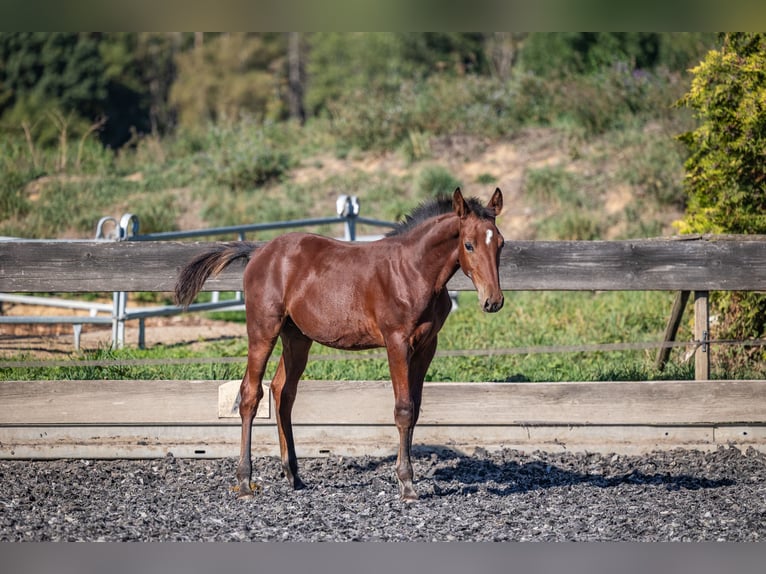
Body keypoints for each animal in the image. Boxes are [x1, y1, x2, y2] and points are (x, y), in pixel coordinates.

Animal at [174, 187, 505, 502]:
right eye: (469, 245)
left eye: (500, 243)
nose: (494, 301)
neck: (413, 271)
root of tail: (258, 252)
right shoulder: (397, 342)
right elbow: (403, 409)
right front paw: (407, 485)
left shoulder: (427, 346)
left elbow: (416, 408)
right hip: (263, 331)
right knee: (250, 394)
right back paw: (244, 482)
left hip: (297, 338)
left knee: (283, 392)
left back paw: (293, 475)